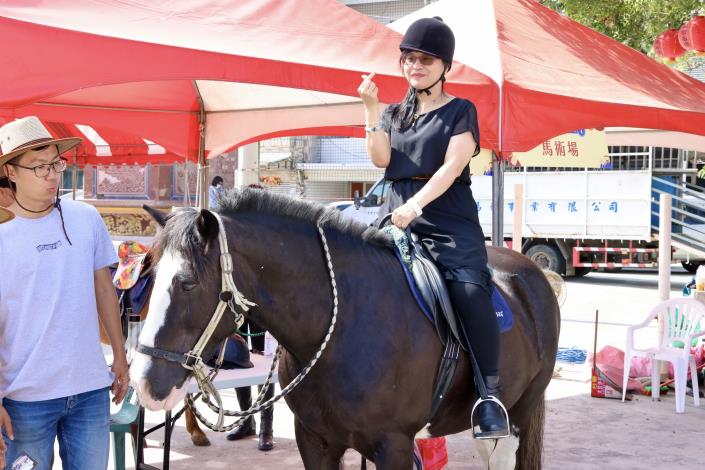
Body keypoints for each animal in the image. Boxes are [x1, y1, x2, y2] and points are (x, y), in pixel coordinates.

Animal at [131, 189, 560, 468]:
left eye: (188, 283)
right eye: (149, 276)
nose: (144, 383)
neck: (342, 328)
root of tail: (532, 273)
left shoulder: (394, 446)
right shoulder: (315, 440)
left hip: (515, 416)